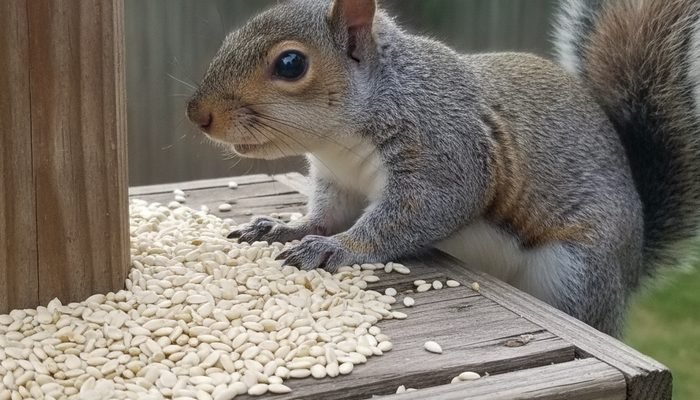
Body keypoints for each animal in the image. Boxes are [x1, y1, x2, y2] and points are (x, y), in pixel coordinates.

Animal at [186, 0, 700, 337]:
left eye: (291, 63)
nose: (197, 114)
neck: (338, 142)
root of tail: (631, 266)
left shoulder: (447, 153)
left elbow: (411, 217)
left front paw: (337, 248)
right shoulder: (338, 182)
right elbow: (325, 215)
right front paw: (282, 227)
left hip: (577, 272)